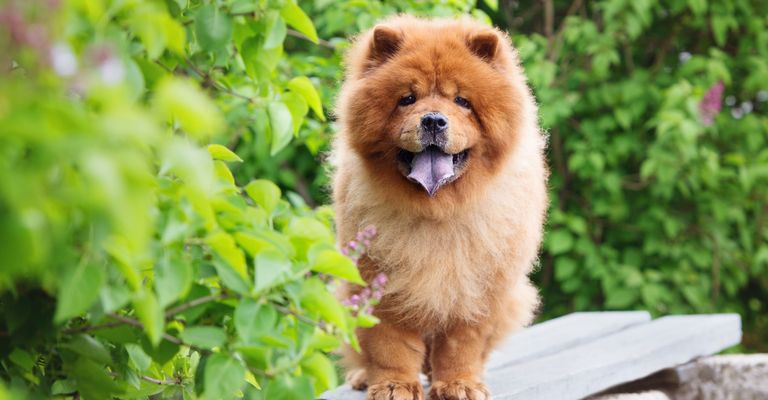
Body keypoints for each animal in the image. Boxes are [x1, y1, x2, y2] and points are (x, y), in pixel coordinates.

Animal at [332, 14, 548, 400]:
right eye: (407, 98)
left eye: (462, 101)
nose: (433, 119)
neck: (438, 211)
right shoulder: (379, 285)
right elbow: (388, 345)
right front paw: (393, 386)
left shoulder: (476, 290)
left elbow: (461, 346)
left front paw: (459, 384)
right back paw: (362, 377)